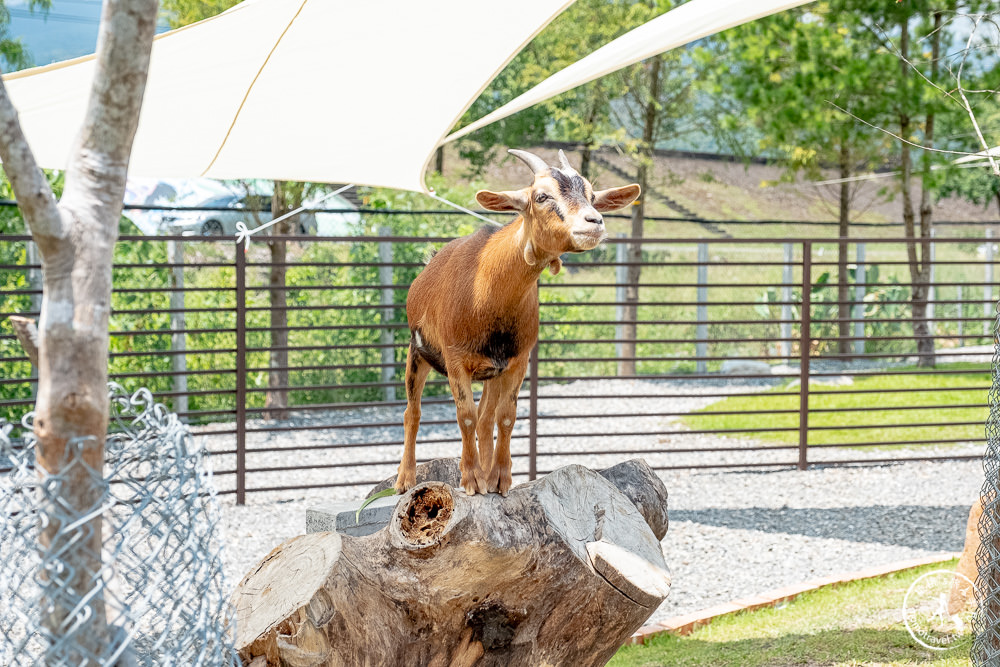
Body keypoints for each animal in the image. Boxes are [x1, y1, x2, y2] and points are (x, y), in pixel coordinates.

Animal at [394, 151, 636, 496]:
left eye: (592, 196)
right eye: (541, 196)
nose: (594, 222)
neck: (486, 289)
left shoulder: (518, 361)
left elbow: (505, 417)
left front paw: (498, 479)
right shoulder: (455, 360)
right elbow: (465, 416)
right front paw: (471, 480)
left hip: (491, 371)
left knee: (486, 417)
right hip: (417, 353)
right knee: (412, 412)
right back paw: (405, 479)